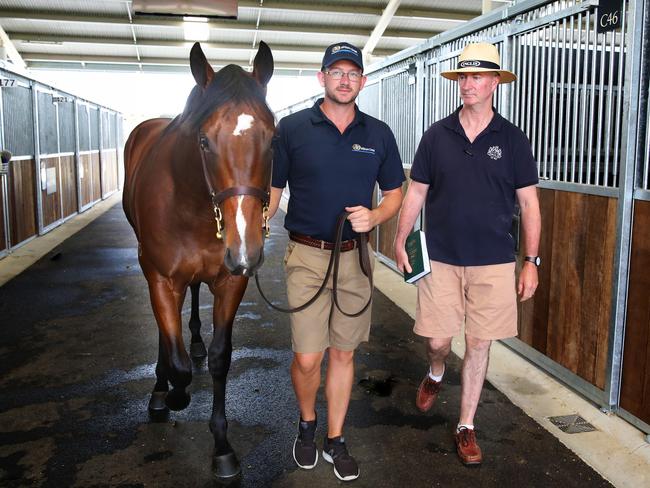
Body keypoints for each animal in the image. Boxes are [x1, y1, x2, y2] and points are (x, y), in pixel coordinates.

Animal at [121, 43, 274, 480]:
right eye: (204, 141)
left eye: (273, 138)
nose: (246, 249)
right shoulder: (159, 277)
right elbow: (178, 363)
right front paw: (173, 395)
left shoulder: (231, 280)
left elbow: (222, 358)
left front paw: (222, 448)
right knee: (166, 332)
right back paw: (161, 391)